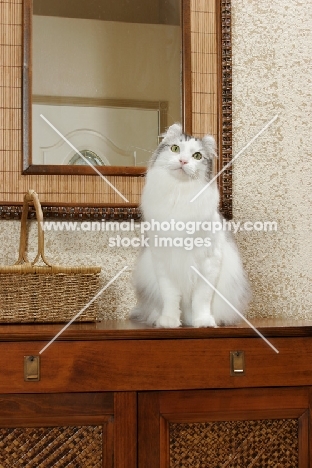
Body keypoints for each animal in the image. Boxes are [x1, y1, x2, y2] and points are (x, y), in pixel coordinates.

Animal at [130, 124, 250, 330]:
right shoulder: (163, 263)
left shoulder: (208, 263)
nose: (183, 161)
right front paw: (169, 321)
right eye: (175, 148)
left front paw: (202, 322)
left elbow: (201, 300)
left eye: (197, 156)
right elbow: (170, 297)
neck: (179, 194)